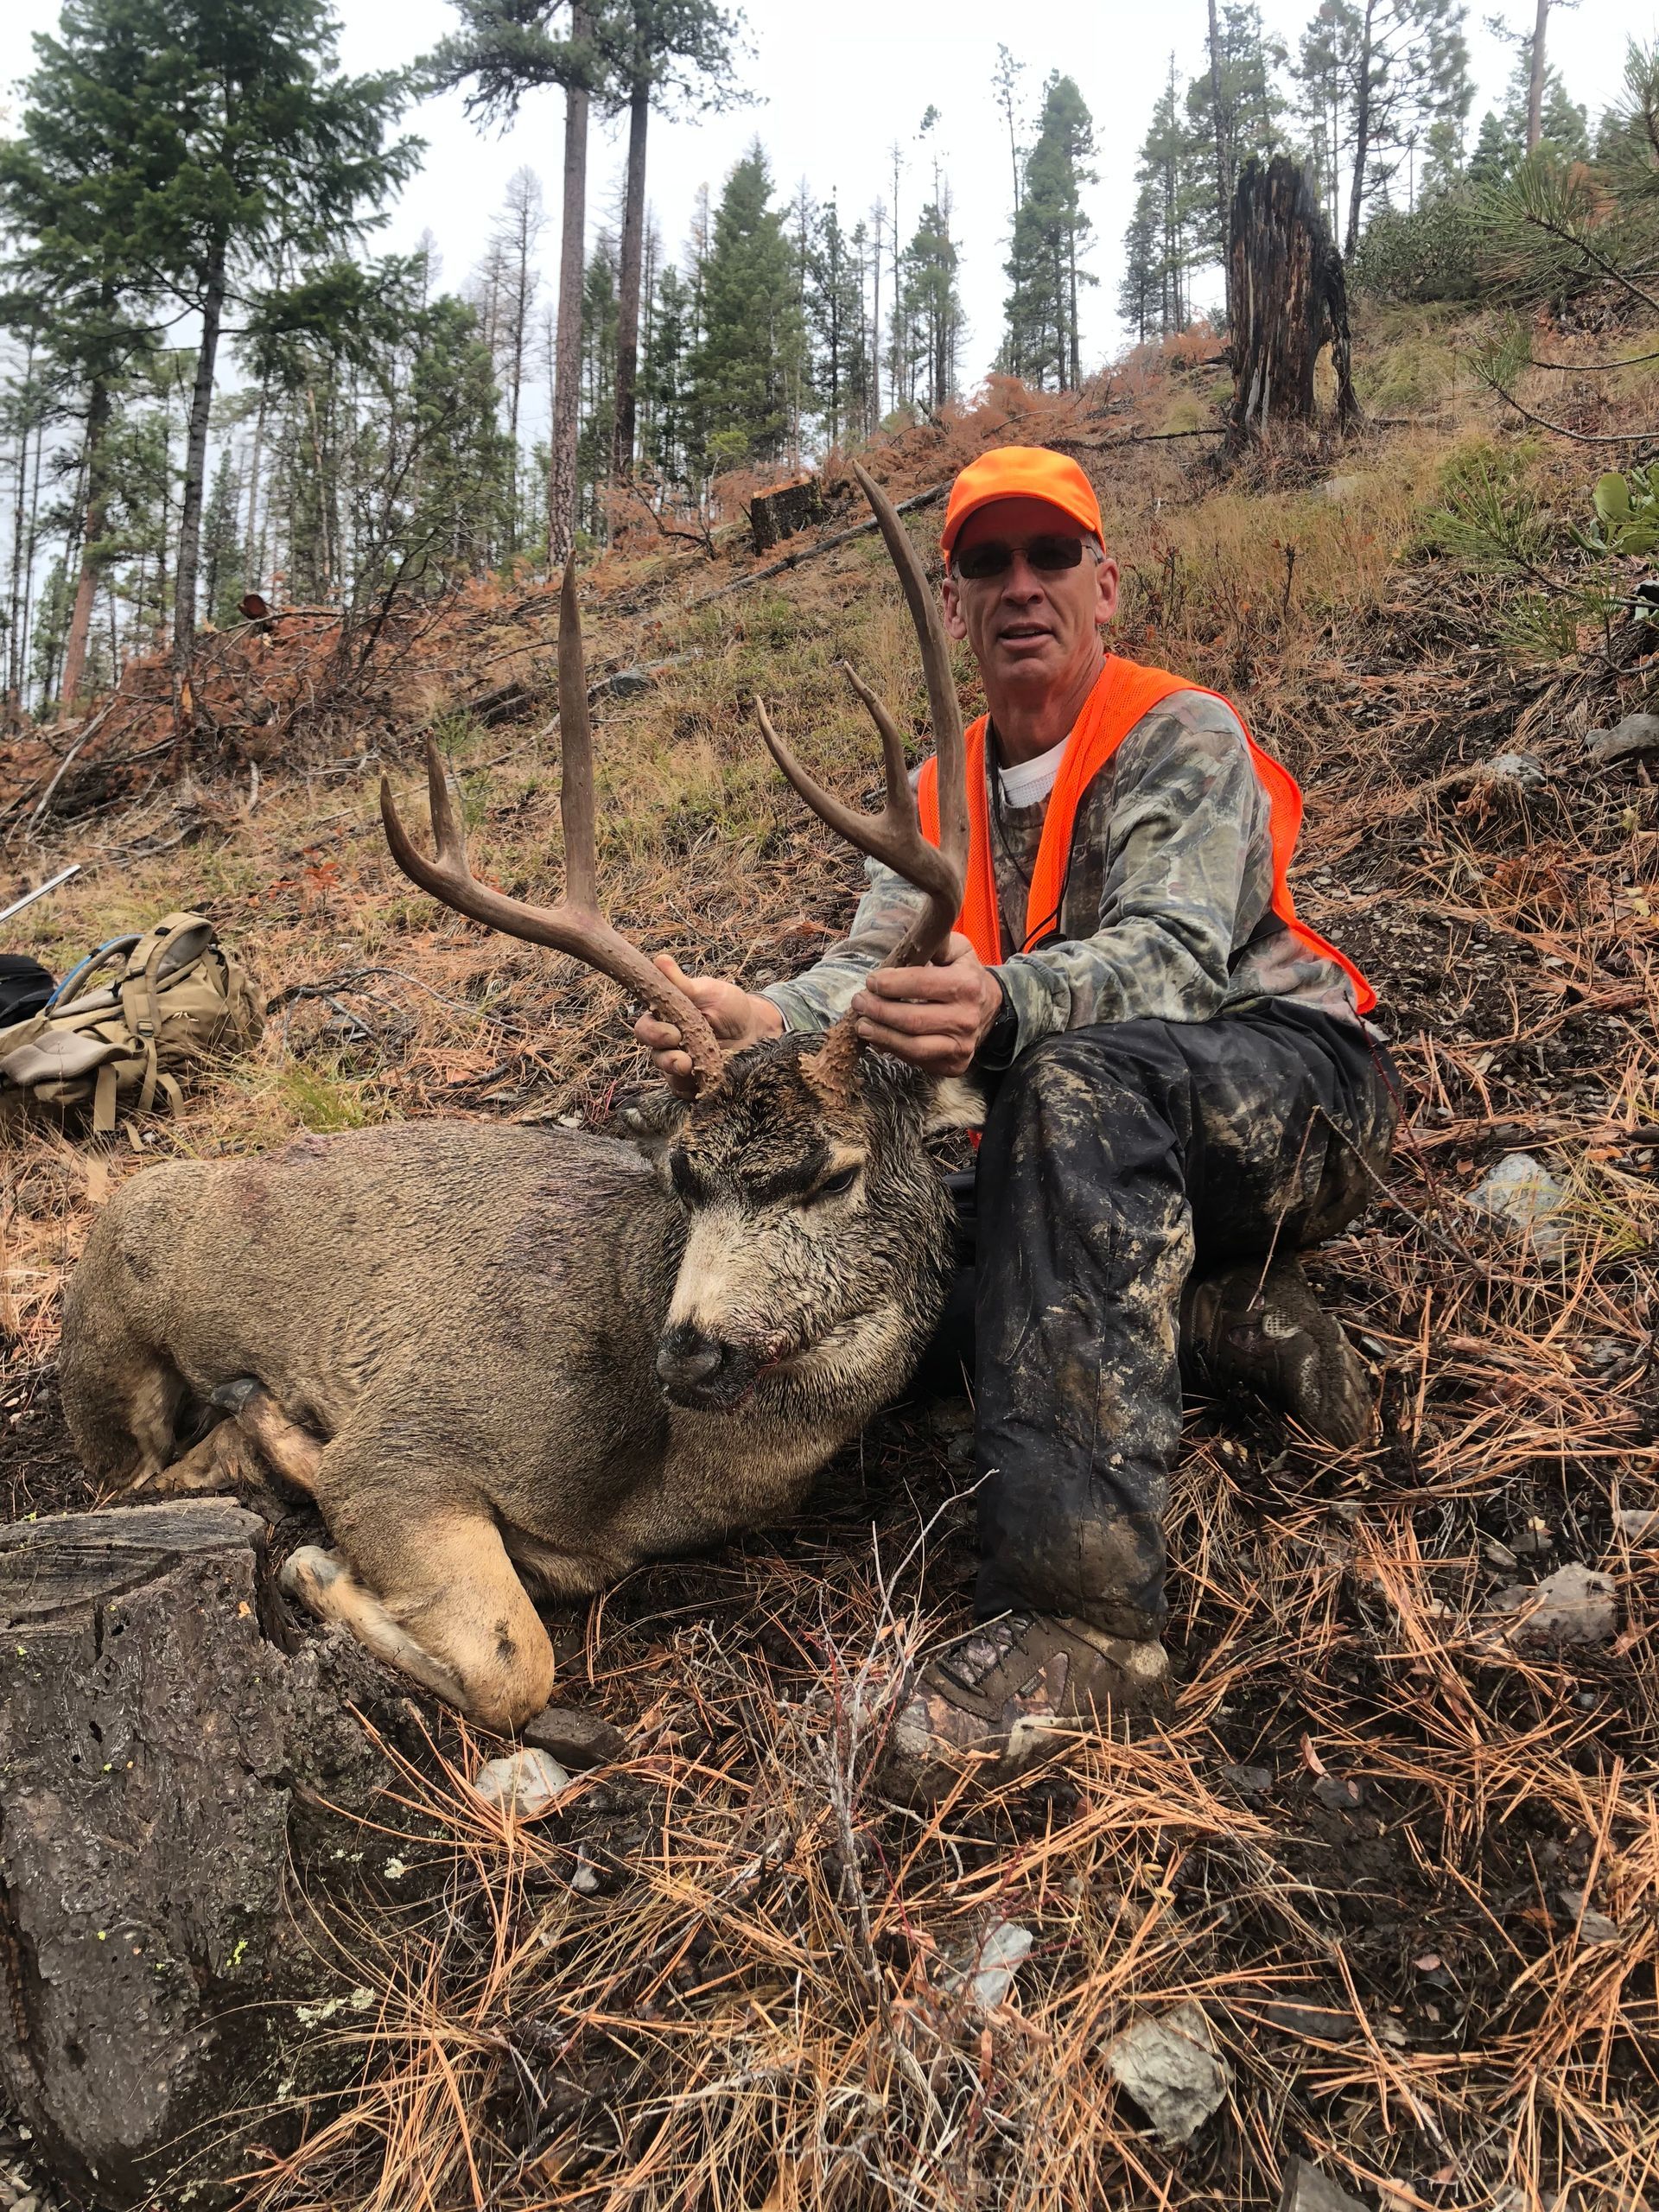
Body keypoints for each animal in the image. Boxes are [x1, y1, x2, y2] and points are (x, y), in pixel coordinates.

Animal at [58, 468, 980, 1734]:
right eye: (683, 1172)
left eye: (835, 1173)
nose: (691, 1350)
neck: (655, 1479)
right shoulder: (412, 1433)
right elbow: (512, 1662)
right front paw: (315, 1561)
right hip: (108, 1348)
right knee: (131, 1475)